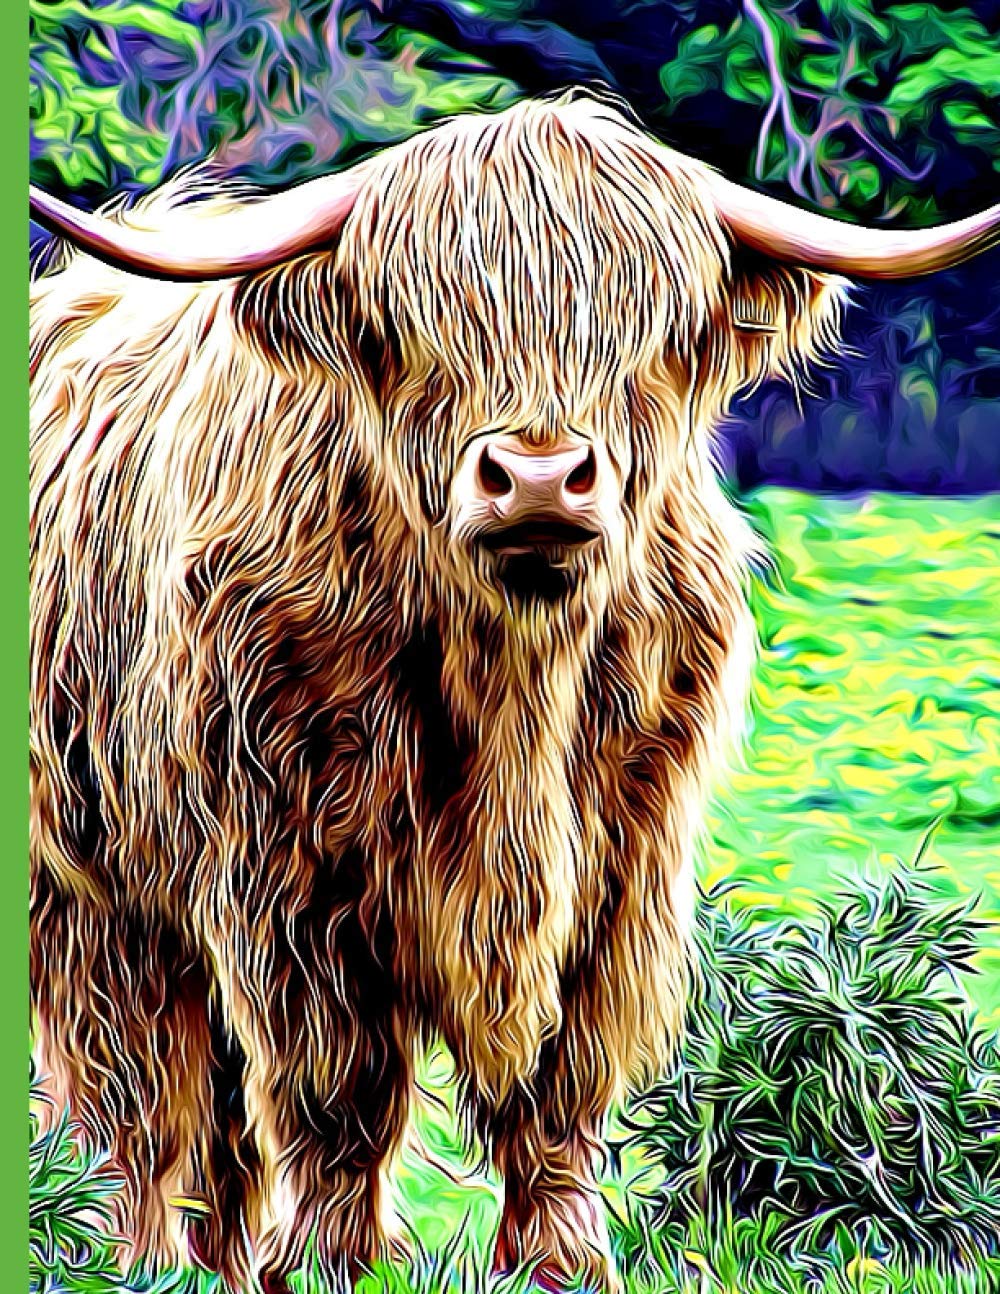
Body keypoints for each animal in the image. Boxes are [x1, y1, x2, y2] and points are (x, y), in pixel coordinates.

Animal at [29, 90, 1000, 1292]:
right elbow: (334, 1079)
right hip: (94, 890)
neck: (513, 686)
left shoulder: (626, 857)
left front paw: (563, 1259)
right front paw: (337, 1261)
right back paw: (149, 1258)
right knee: (142, 1097)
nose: (538, 477)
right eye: (415, 326)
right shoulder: (280, 869)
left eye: (652, 331)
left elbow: (563, 1079)